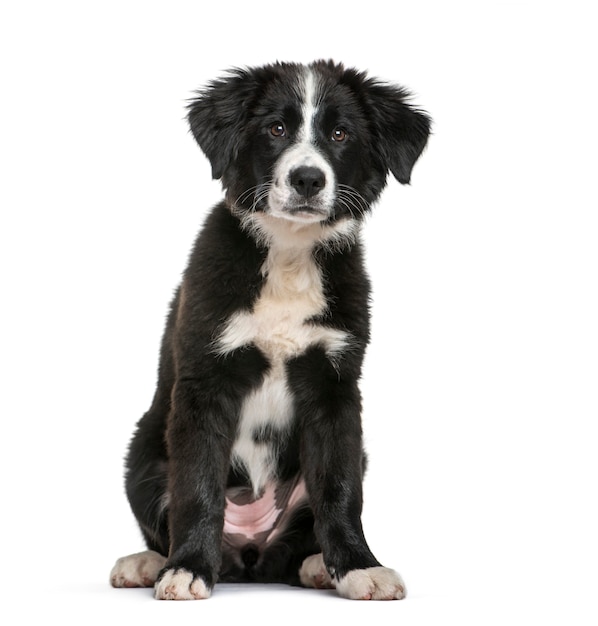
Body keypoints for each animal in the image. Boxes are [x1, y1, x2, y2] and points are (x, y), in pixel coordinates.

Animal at [110, 59, 434, 600]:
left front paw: (359, 566)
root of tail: (248, 555)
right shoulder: (205, 380)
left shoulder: (334, 385)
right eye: (276, 129)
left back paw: (316, 566)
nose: (307, 179)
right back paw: (149, 562)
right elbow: (196, 485)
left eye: (340, 134)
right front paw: (186, 568)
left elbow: (339, 490)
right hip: (143, 456)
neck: (288, 253)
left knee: (294, 544)